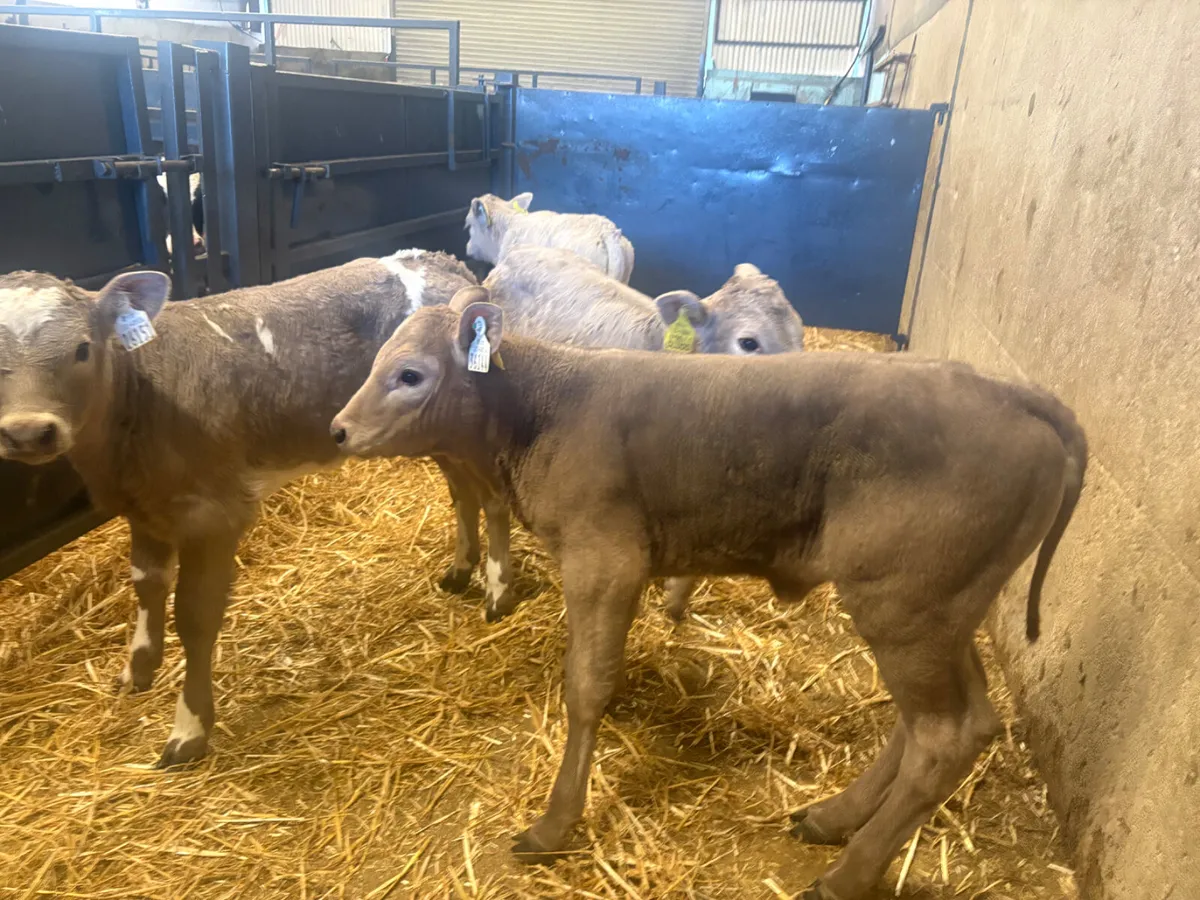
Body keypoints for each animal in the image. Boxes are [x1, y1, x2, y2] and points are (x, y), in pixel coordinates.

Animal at [0, 248, 476, 767]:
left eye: (83, 349)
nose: (28, 432)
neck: (142, 390)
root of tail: (436, 260)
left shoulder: (213, 514)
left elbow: (195, 617)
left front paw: (188, 730)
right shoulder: (144, 505)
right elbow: (146, 583)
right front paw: (138, 670)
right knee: (464, 489)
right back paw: (463, 569)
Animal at [329, 291, 1087, 900]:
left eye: (410, 375)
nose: (337, 428)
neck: (545, 406)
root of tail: (1008, 391)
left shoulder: (606, 560)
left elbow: (586, 687)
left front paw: (554, 824)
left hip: (905, 606)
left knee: (941, 736)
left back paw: (846, 874)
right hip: (941, 611)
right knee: (961, 719)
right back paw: (833, 817)